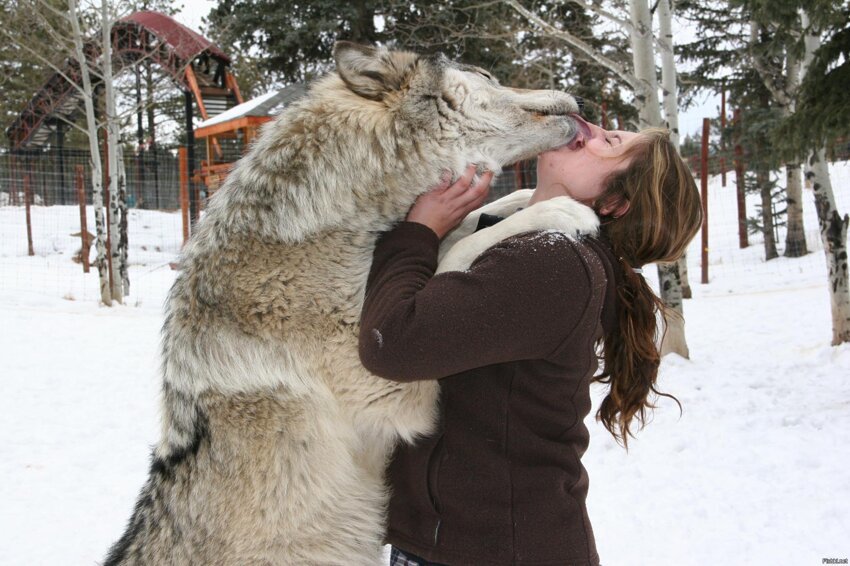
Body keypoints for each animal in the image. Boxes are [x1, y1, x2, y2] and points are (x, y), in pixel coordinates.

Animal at [102, 41, 588, 566]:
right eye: (485, 75)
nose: (572, 93)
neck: (333, 213)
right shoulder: (385, 380)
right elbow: (460, 251)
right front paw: (558, 208)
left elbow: (466, 227)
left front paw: (523, 195)